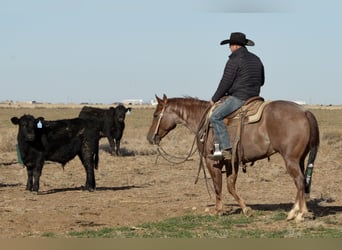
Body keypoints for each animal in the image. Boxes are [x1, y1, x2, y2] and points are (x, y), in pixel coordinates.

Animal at [147, 94, 320, 222]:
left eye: (155, 115)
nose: (150, 137)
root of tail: (305, 112)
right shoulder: (231, 161)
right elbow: (231, 185)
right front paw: (245, 208)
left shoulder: (212, 161)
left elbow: (218, 185)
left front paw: (218, 210)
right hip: (300, 159)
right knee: (302, 181)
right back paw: (296, 212)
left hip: (290, 159)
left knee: (299, 181)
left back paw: (299, 214)